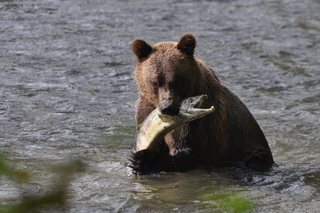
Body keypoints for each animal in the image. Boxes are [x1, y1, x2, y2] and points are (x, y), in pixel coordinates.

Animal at [129, 34, 274, 175]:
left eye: (176, 80)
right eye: (155, 82)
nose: (167, 107)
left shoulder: (200, 123)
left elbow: (188, 151)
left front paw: (143, 159)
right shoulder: (145, 110)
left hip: (252, 151)